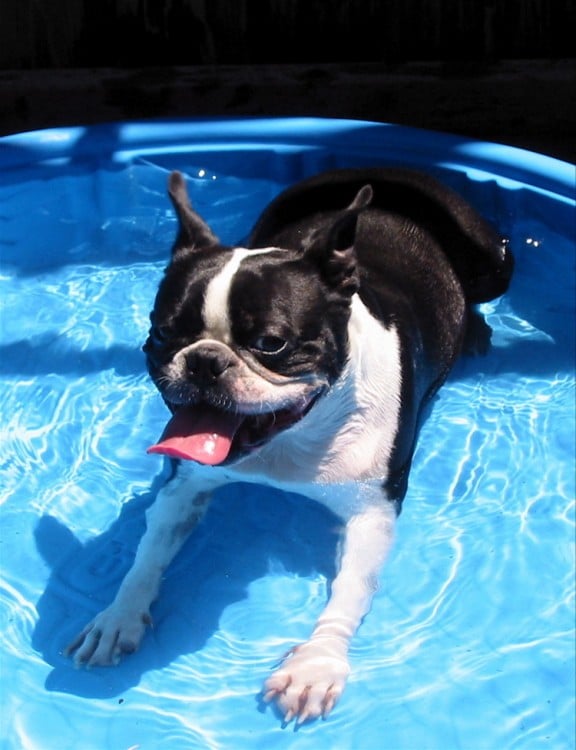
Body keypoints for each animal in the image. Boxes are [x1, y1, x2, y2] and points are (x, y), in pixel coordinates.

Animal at [67, 169, 512, 724]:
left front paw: (316, 664)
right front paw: (119, 615)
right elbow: (147, 555)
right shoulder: (183, 488)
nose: (204, 360)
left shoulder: (372, 513)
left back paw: (476, 330)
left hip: (493, 261)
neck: (291, 438)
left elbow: (349, 588)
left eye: (272, 344)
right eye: (163, 333)